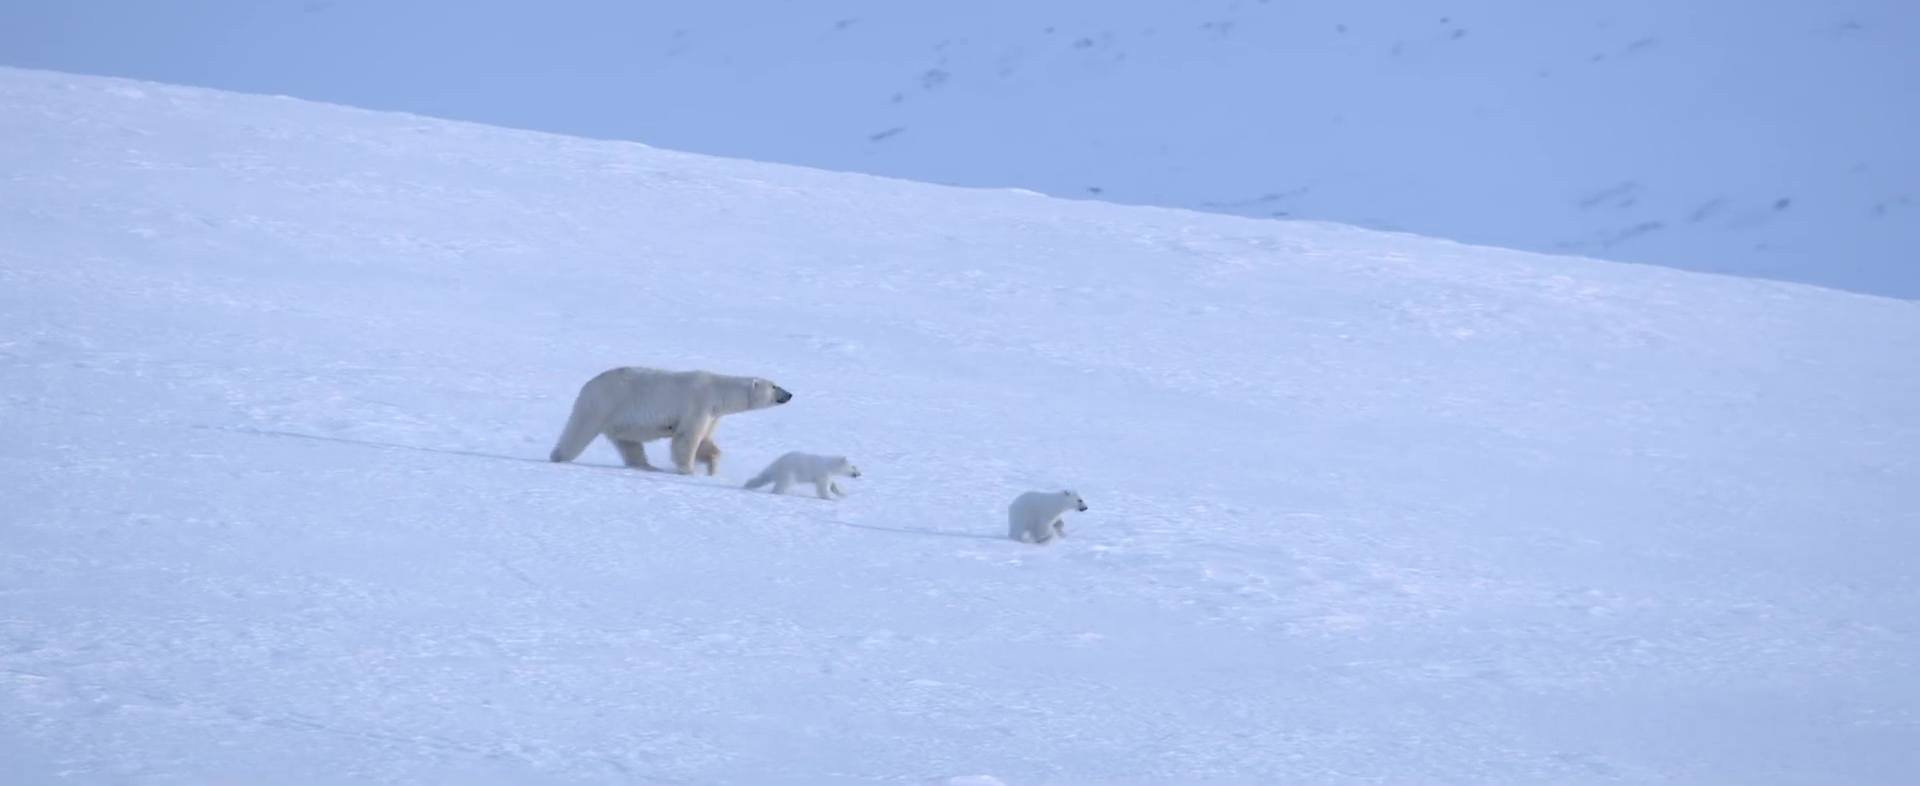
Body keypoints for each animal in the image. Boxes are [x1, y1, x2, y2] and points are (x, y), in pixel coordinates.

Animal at [548, 366, 791, 475]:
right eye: (774, 386)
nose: (789, 394)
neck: (718, 391)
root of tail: (587, 385)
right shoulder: (698, 404)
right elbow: (686, 439)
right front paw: (688, 469)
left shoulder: (712, 414)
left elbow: (705, 440)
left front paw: (712, 463)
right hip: (603, 404)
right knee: (579, 431)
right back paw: (558, 456)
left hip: (619, 421)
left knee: (630, 445)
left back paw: (647, 466)